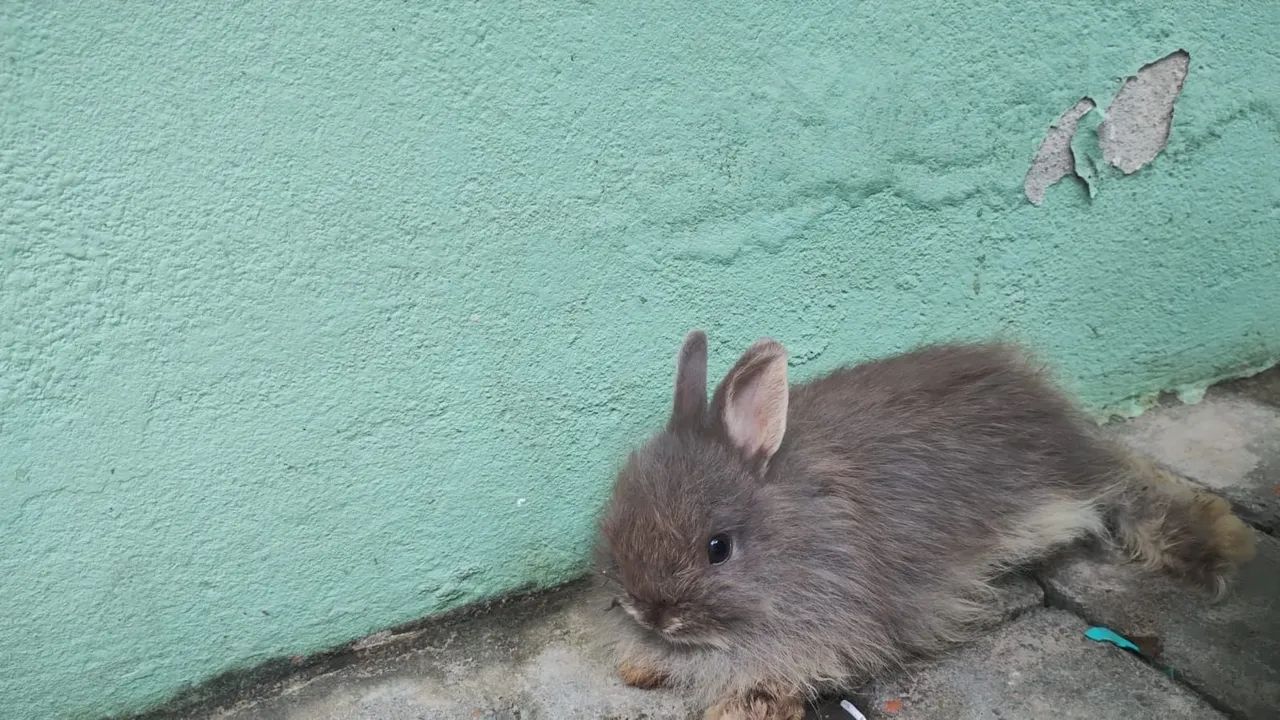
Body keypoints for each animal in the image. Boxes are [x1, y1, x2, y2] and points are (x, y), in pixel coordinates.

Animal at [597, 331, 1256, 720]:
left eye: (718, 548)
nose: (650, 613)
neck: (796, 525)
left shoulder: (824, 627)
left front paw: (740, 707)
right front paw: (639, 664)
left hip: (1071, 491)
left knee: (1126, 487)